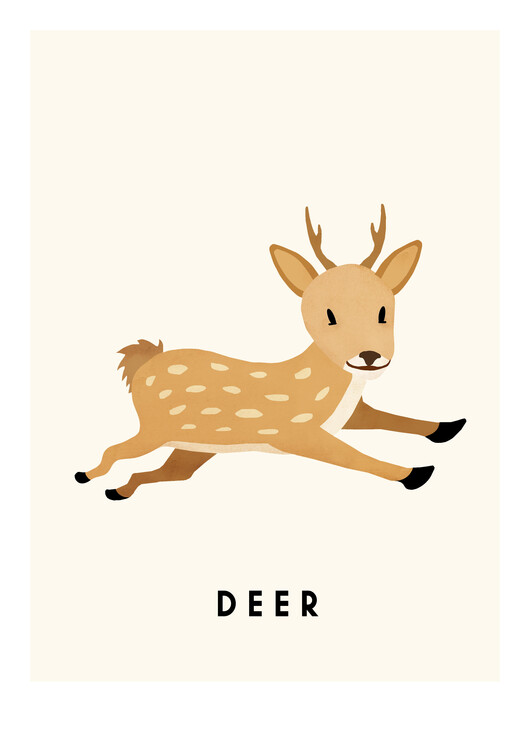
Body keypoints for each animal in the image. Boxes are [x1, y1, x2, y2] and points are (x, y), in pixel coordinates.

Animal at [75, 205, 466, 499]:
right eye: (328, 314)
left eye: (384, 311)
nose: (368, 356)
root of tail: (145, 362)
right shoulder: (293, 431)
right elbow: (353, 456)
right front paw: (416, 473)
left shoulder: (349, 415)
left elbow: (387, 417)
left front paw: (448, 427)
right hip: (155, 428)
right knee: (114, 449)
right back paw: (85, 475)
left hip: (192, 447)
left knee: (166, 473)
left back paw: (117, 491)